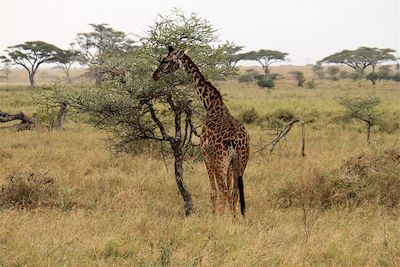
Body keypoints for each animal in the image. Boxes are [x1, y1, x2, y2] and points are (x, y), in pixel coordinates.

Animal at [153, 46, 250, 218]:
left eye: (166, 60)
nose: (155, 75)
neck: (211, 105)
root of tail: (238, 141)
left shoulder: (206, 155)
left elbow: (213, 191)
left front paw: (214, 217)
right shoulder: (230, 162)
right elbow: (231, 192)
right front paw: (231, 219)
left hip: (220, 160)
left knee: (223, 190)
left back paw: (219, 218)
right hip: (241, 161)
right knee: (234, 192)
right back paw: (234, 219)